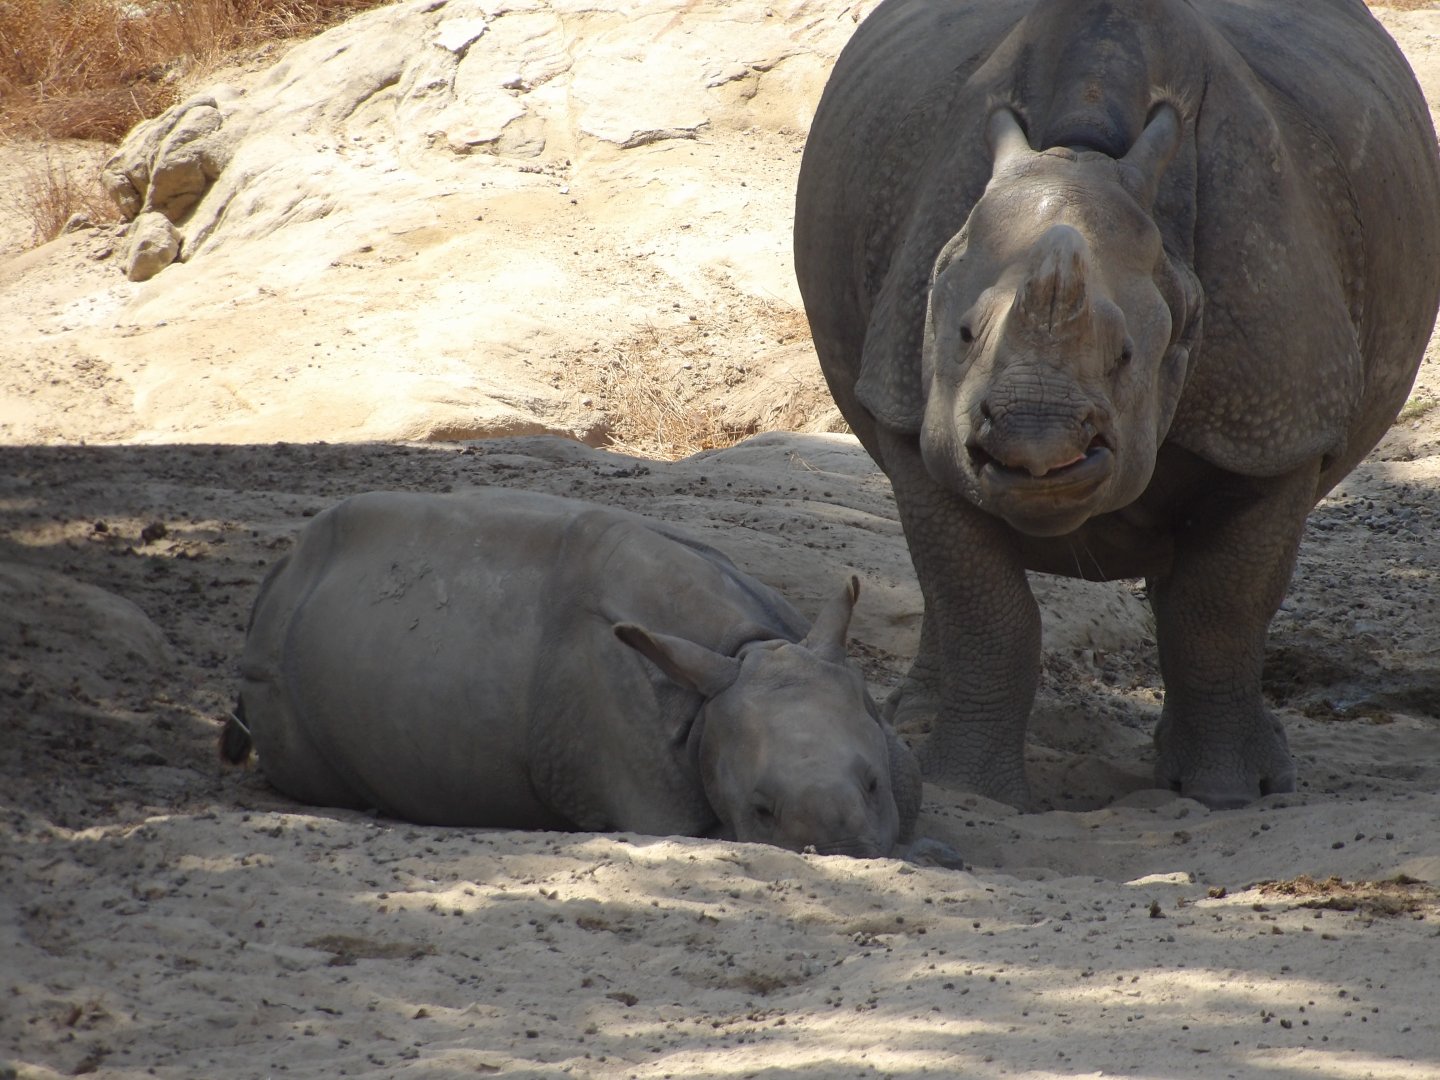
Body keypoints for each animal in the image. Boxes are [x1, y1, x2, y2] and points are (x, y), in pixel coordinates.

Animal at [794, 0, 1440, 808]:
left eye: (1128, 355)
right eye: (965, 334)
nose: (1034, 446)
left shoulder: (1276, 429)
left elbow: (1219, 611)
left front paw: (1228, 794)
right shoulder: (910, 407)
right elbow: (983, 607)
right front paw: (971, 791)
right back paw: (911, 723)